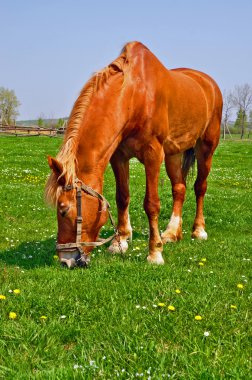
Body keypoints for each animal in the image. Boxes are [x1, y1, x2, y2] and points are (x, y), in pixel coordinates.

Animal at [45, 40, 222, 268]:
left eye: (63, 210)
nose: (65, 260)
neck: (134, 96)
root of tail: (208, 83)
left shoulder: (153, 154)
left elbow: (151, 204)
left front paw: (155, 252)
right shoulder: (119, 156)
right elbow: (122, 197)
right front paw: (119, 242)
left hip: (205, 147)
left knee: (200, 187)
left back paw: (198, 230)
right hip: (174, 153)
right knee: (179, 189)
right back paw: (172, 232)